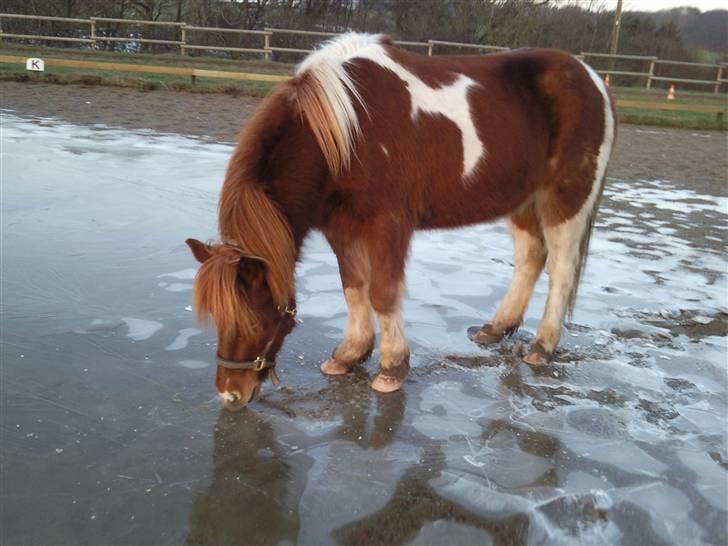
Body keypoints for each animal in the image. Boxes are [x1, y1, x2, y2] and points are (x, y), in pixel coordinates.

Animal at [186, 33, 616, 408]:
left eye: (252, 322)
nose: (230, 394)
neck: (347, 131)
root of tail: (593, 78)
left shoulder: (387, 225)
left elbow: (382, 293)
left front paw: (392, 368)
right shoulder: (341, 227)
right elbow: (353, 288)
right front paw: (349, 355)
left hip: (564, 201)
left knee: (561, 269)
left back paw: (542, 347)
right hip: (522, 202)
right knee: (530, 258)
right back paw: (496, 329)